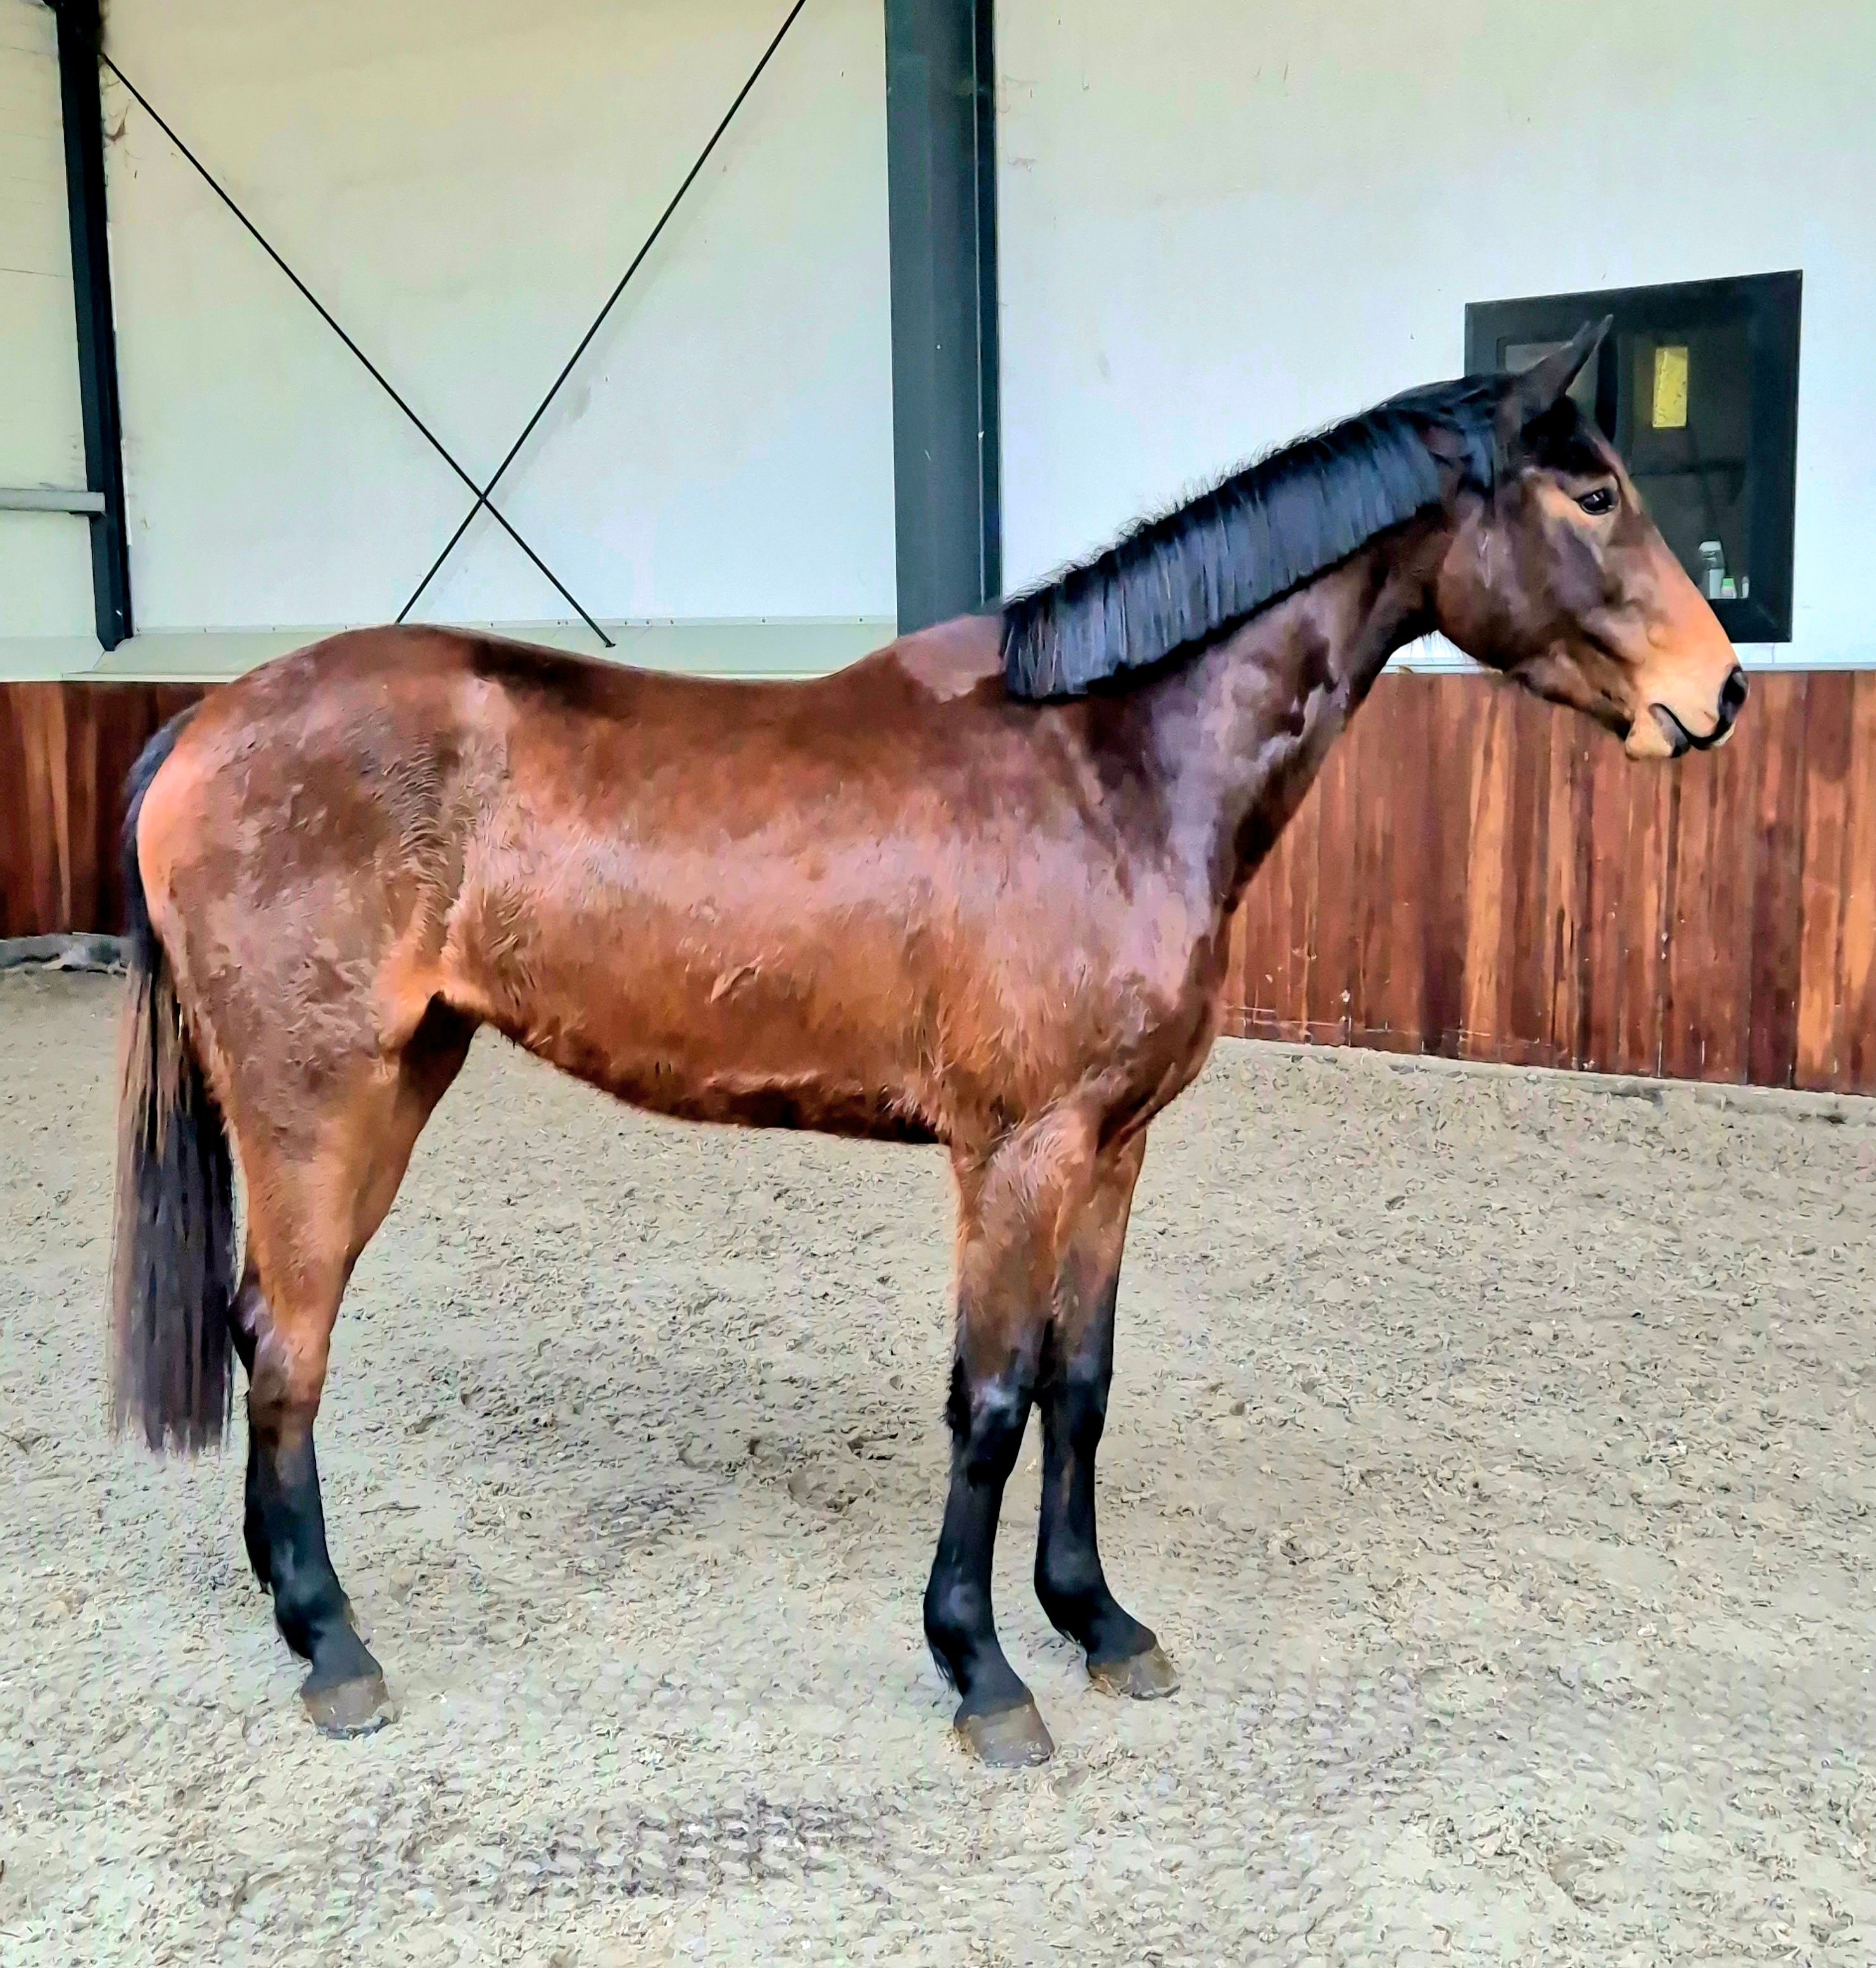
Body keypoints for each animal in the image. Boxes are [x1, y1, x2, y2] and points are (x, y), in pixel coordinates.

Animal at [110, 319, 1742, 1766]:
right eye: (1593, 493)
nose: (1716, 690)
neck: (1107, 765)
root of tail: (202, 724)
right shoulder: (1017, 1153)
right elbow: (992, 1402)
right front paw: (983, 1669)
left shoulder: (1114, 1148)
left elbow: (1081, 1387)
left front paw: (1098, 1623)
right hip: (324, 1101)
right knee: (288, 1341)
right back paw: (332, 1644)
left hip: (399, 1076)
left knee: (271, 1332)